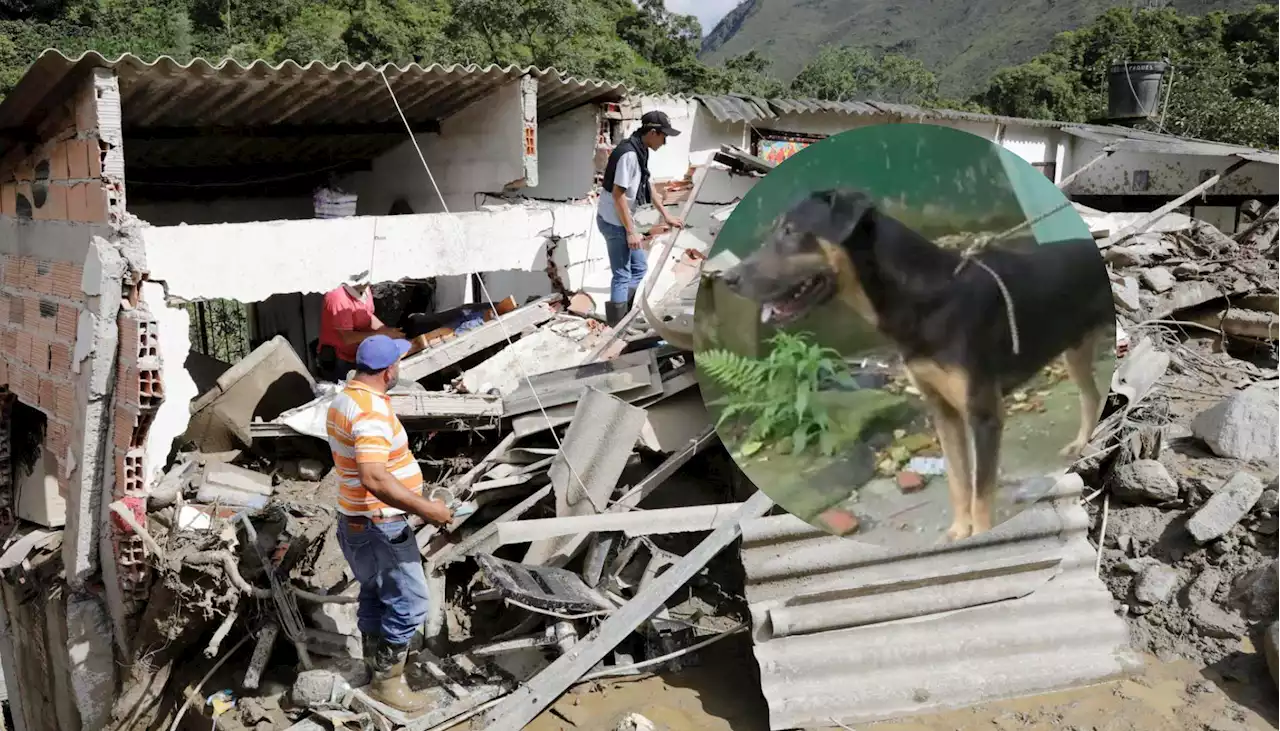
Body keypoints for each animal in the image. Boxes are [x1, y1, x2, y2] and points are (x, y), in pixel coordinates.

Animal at [716, 188, 1116, 542]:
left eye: (791, 231)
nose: (726, 279)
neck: (927, 297)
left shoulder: (984, 414)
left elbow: (981, 489)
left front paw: (981, 535)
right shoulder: (943, 411)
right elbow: (958, 480)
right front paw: (959, 532)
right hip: (1075, 349)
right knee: (1092, 395)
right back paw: (1081, 443)